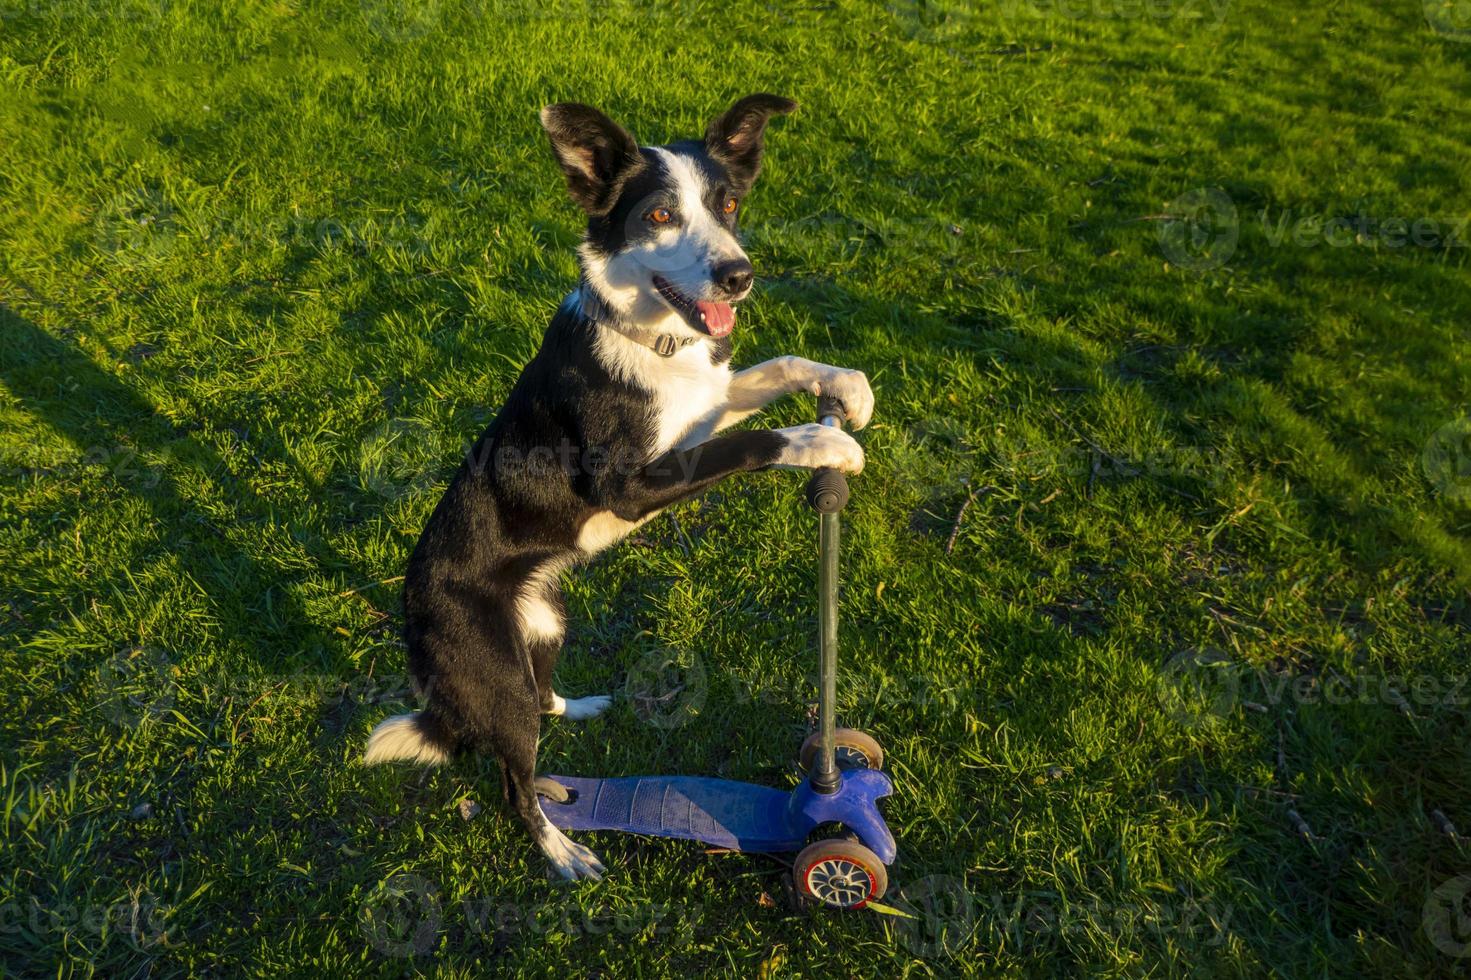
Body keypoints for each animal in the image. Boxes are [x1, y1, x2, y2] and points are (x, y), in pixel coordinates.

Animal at [364, 97, 870, 876]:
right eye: (659, 215)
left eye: (728, 204)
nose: (738, 275)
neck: (648, 335)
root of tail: (413, 614)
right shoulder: (632, 484)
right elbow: (749, 442)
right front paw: (824, 442)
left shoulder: (699, 412)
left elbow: (778, 368)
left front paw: (846, 386)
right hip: (493, 670)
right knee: (513, 784)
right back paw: (562, 852)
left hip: (544, 625)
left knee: (540, 709)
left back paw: (579, 720)